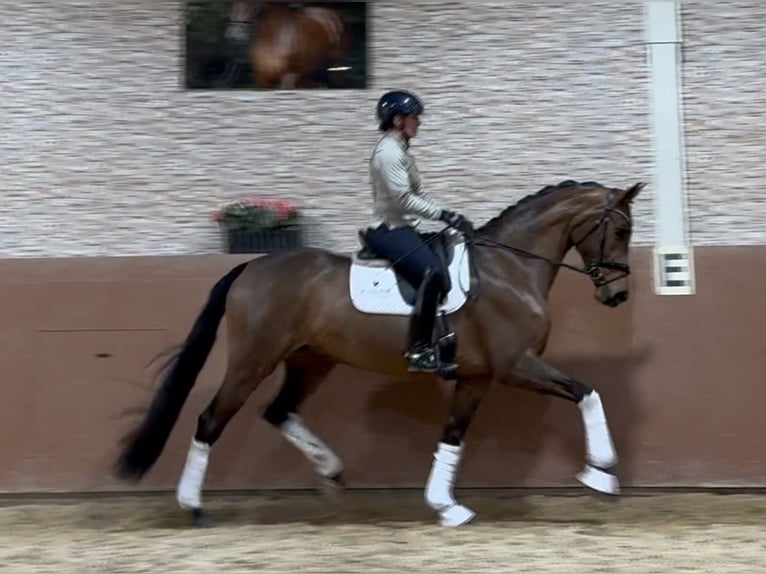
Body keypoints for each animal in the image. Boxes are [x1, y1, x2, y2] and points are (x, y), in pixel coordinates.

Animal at [114, 181, 648, 532]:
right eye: (621, 229)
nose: (617, 295)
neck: (509, 267)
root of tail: (250, 268)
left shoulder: (477, 377)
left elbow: (452, 436)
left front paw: (445, 506)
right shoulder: (516, 365)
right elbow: (586, 392)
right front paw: (600, 473)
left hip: (311, 360)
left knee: (279, 411)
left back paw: (330, 469)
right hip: (253, 360)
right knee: (211, 420)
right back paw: (194, 507)